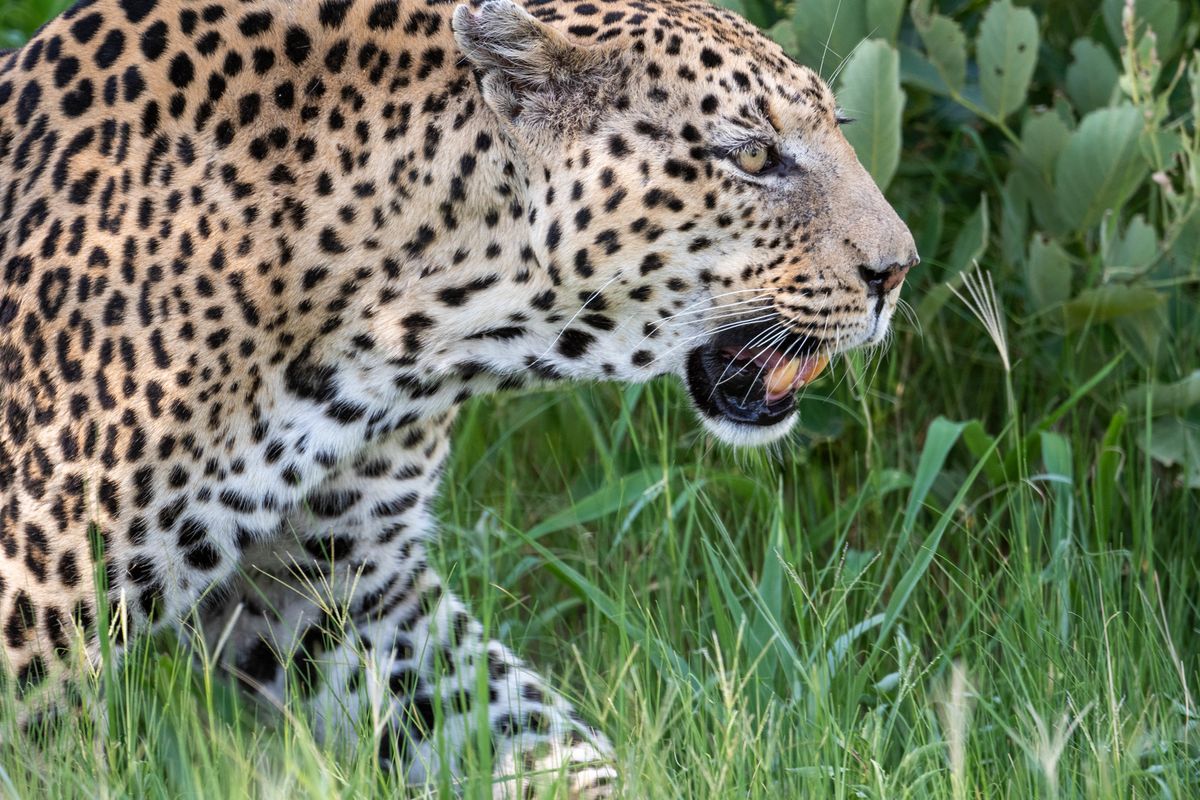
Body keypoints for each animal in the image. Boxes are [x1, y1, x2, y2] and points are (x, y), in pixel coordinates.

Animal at [2, 0, 916, 796]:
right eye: (752, 157)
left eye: (840, 127)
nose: (897, 271)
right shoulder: (37, 622)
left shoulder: (345, 587)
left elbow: (514, 723)